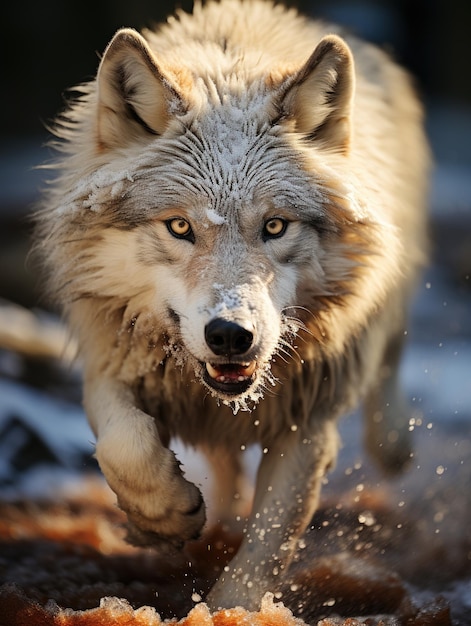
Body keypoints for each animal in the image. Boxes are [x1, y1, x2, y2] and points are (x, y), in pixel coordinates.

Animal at [34, 0, 432, 608]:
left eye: (275, 226)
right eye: (179, 227)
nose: (230, 335)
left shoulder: (307, 421)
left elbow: (268, 543)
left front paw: (229, 607)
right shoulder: (113, 357)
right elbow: (123, 446)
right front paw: (164, 518)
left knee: (388, 356)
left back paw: (392, 444)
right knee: (222, 466)